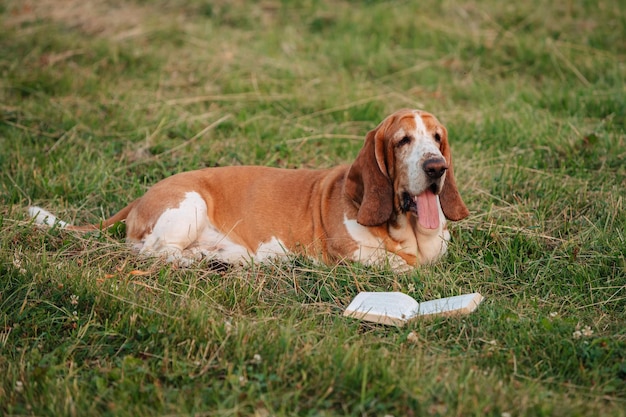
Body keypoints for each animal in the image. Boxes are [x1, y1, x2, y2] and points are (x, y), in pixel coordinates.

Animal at [30, 107, 468, 270]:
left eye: (438, 138)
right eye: (402, 141)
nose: (436, 167)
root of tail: (142, 196)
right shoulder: (350, 255)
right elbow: (399, 266)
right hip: (188, 205)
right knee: (153, 251)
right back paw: (196, 261)